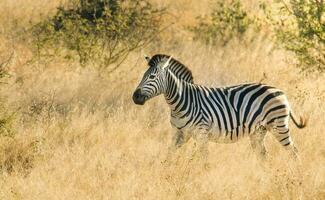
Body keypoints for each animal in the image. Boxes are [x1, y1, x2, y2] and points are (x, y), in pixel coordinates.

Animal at [131, 54, 304, 160]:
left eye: (152, 76)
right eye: (143, 76)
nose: (135, 97)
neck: (180, 103)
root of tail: (281, 92)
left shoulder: (201, 133)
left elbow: (203, 160)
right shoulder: (179, 134)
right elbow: (169, 155)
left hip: (278, 126)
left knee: (294, 152)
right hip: (258, 132)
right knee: (263, 156)